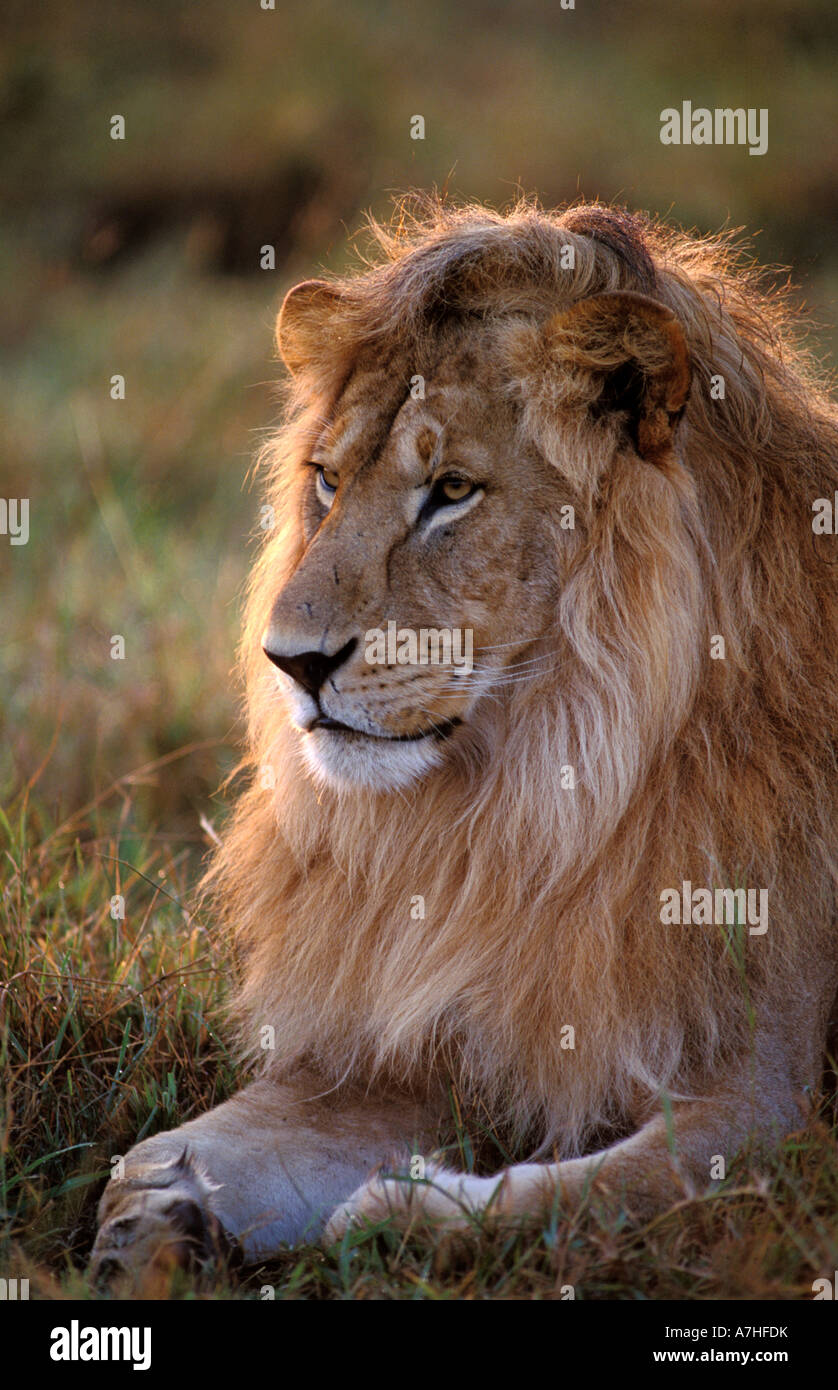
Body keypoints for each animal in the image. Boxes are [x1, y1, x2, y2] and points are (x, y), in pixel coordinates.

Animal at [91, 196, 838, 1283]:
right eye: (327, 480)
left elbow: (596, 1190)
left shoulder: (771, 1096)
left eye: (450, 490)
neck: (518, 809)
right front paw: (152, 1229)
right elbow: (159, 1150)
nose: (291, 661)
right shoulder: (406, 1045)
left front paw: (399, 1211)